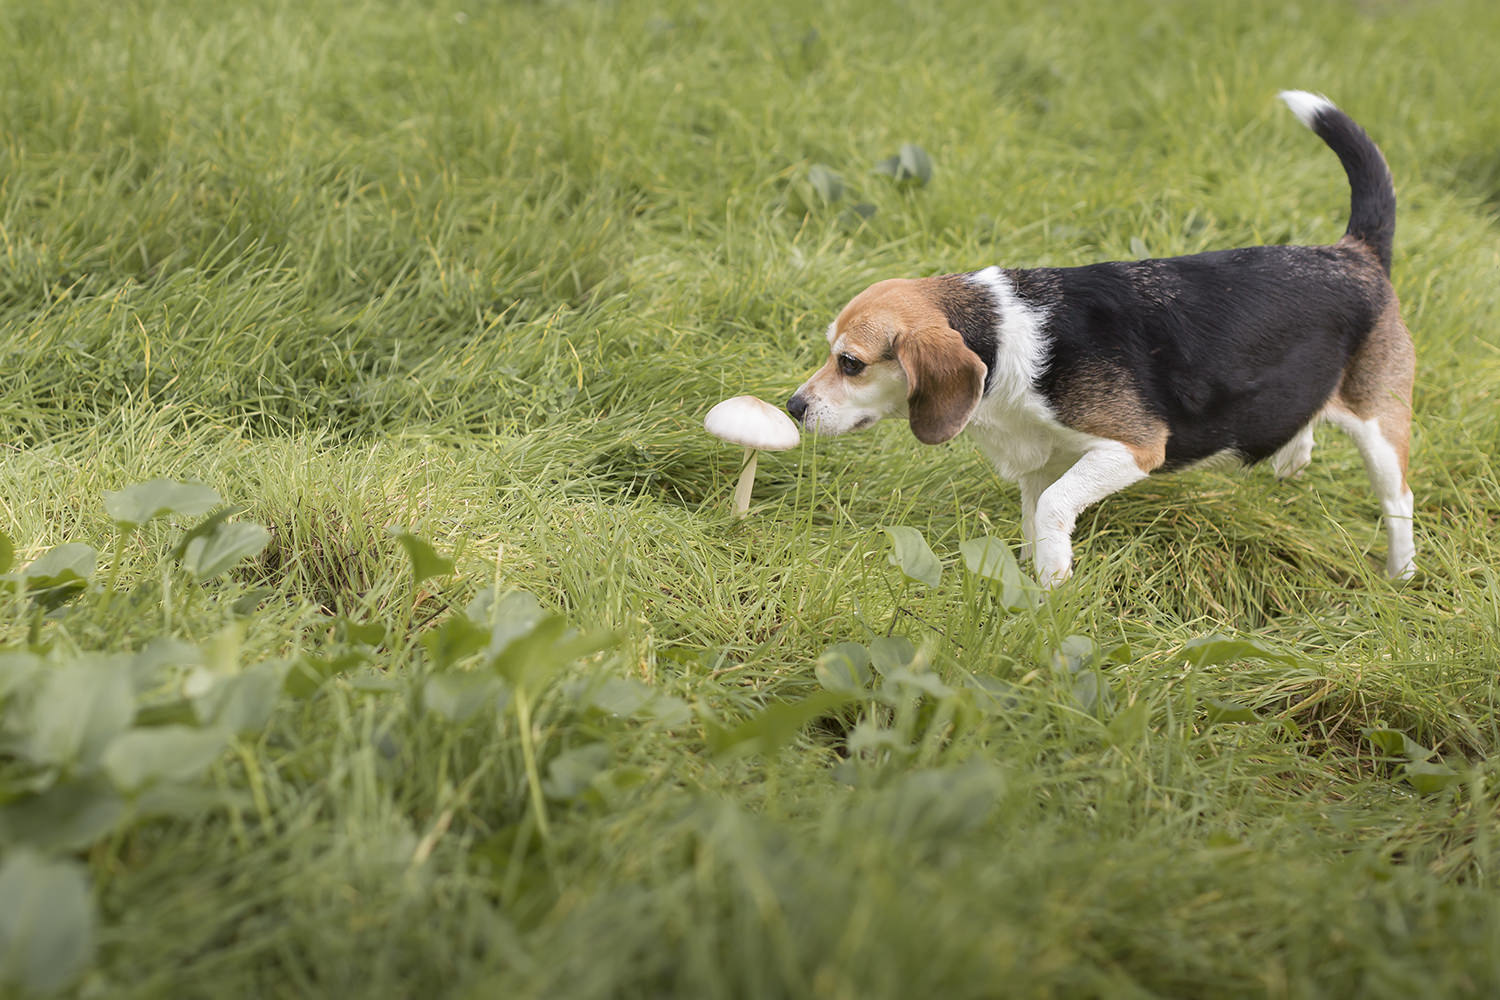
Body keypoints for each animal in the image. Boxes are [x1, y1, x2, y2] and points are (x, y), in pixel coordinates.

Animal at [792, 92, 1410, 587]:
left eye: (850, 363)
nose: (793, 407)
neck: (1004, 337)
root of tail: (1355, 252)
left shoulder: (1133, 449)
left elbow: (1052, 509)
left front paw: (1053, 586)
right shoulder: (1041, 463)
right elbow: (1034, 518)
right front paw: (1034, 582)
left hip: (1379, 428)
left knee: (1397, 499)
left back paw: (1400, 576)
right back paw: (1292, 459)